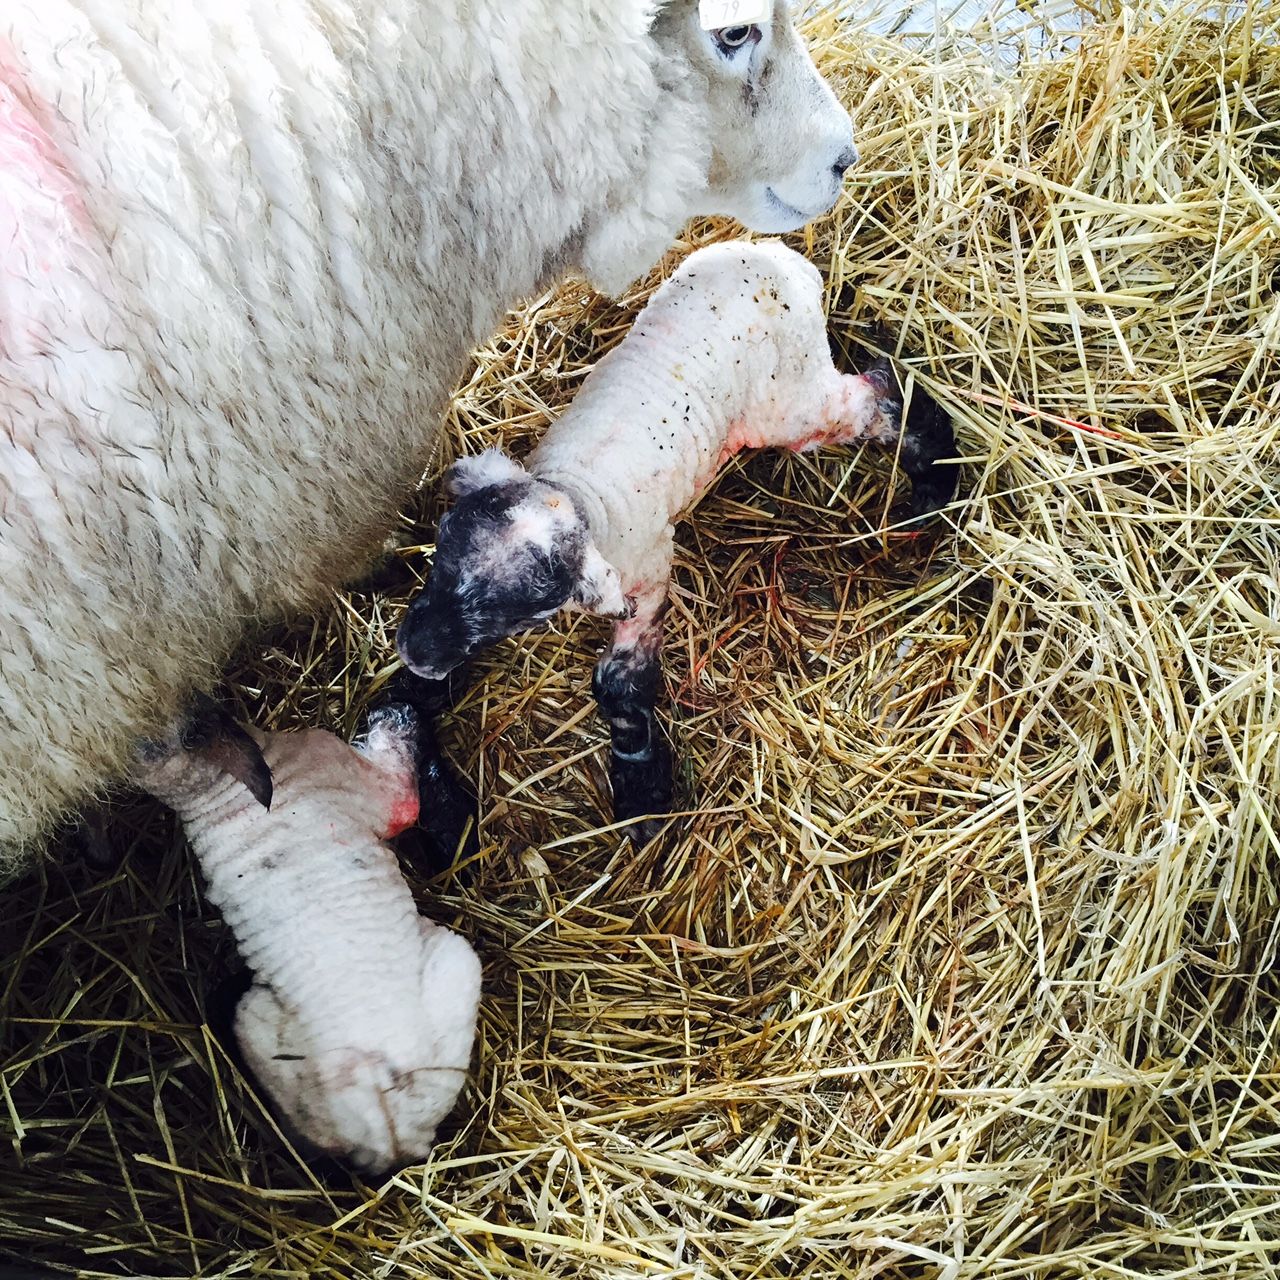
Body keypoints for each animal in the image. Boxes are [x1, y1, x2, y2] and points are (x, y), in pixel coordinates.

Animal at [133, 682, 482, 1173]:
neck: (204, 790)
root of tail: (380, 1120)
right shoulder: (358, 778)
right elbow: (401, 782)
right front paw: (396, 712)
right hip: (454, 963)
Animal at [396, 239, 958, 840]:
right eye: (442, 548)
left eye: (522, 611)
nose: (413, 650)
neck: (575, 494)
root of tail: (785, 261)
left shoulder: (648, 576)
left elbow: (620, 684)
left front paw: (641, 789)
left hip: (793, 404)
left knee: (876, 395)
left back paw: (935, 478)